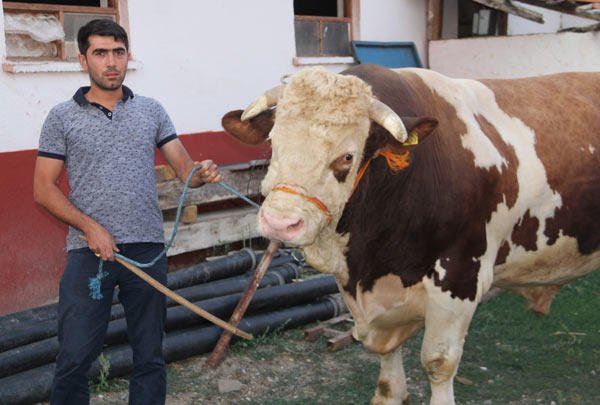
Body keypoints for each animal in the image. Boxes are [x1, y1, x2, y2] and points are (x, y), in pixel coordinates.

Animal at [221, 64, 600, 402]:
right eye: (273, 143)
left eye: (348, 156)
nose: (280, 222)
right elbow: (386, 362)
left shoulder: (460, 278)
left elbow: (438, 362)